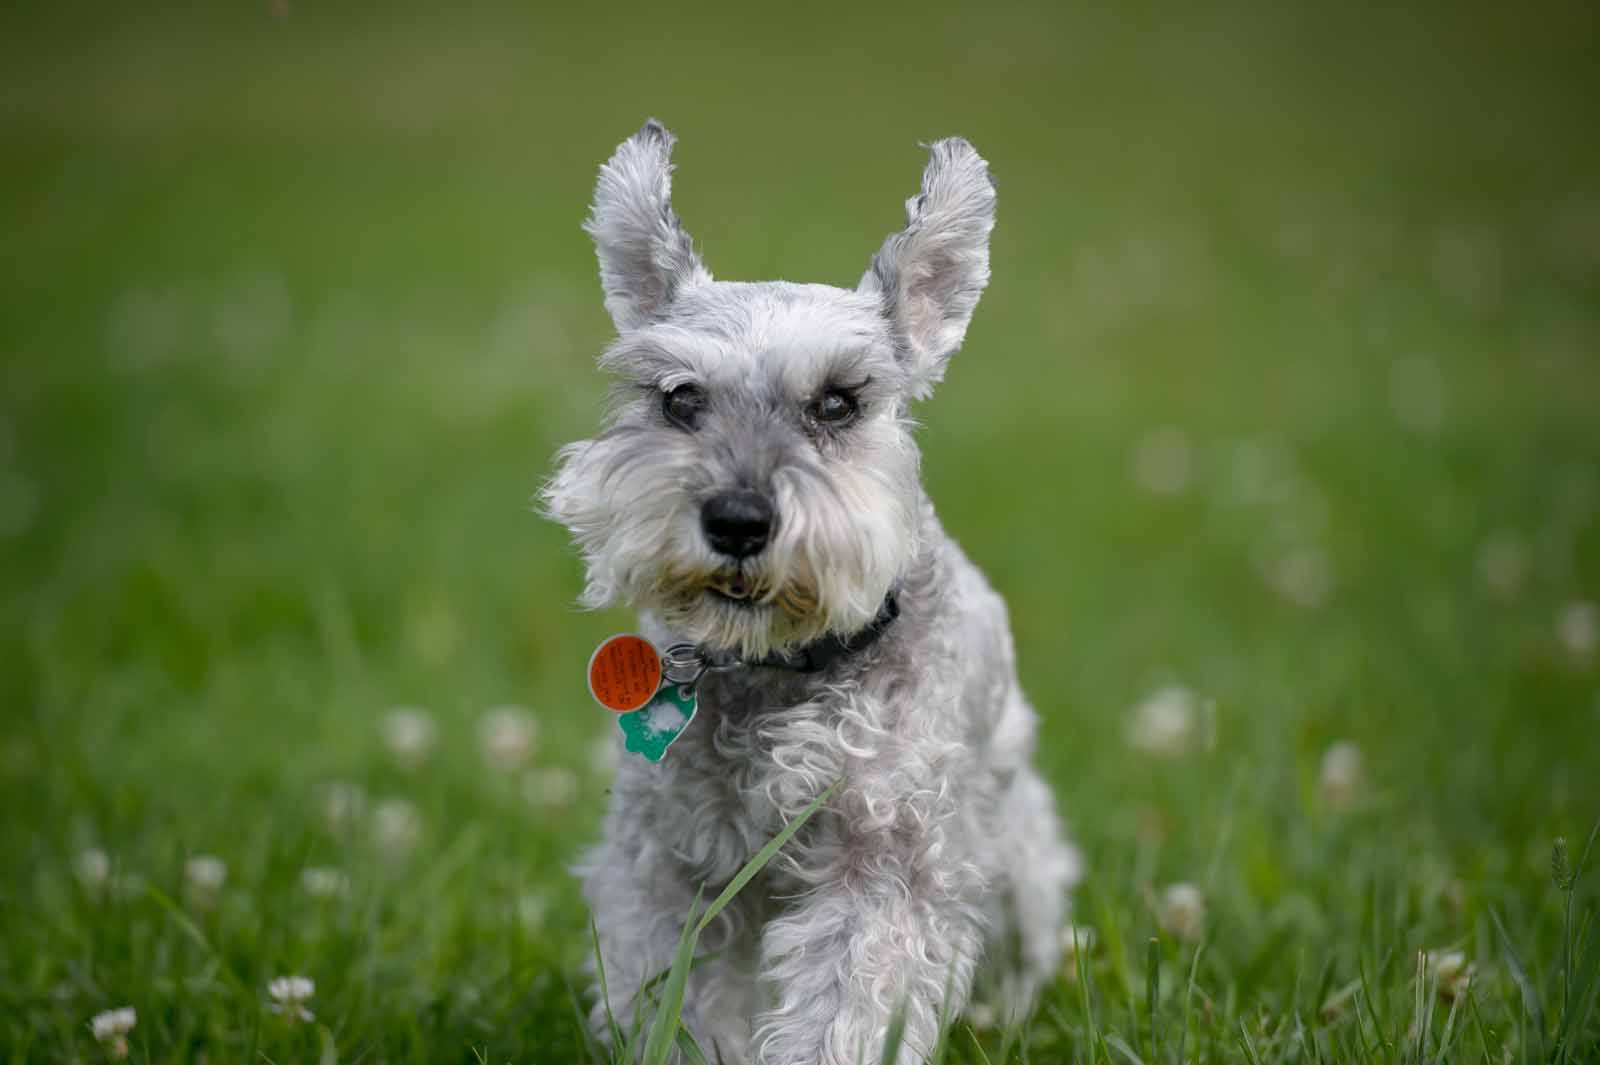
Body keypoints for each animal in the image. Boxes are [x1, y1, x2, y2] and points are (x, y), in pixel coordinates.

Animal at [544, 119, 1081, 1061]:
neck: (777, 667)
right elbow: (678, 1001)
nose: (737, 520)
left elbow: (848, 1004)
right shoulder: (672, 862)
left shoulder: (881, 859)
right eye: (679, 397)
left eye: (837, 402)